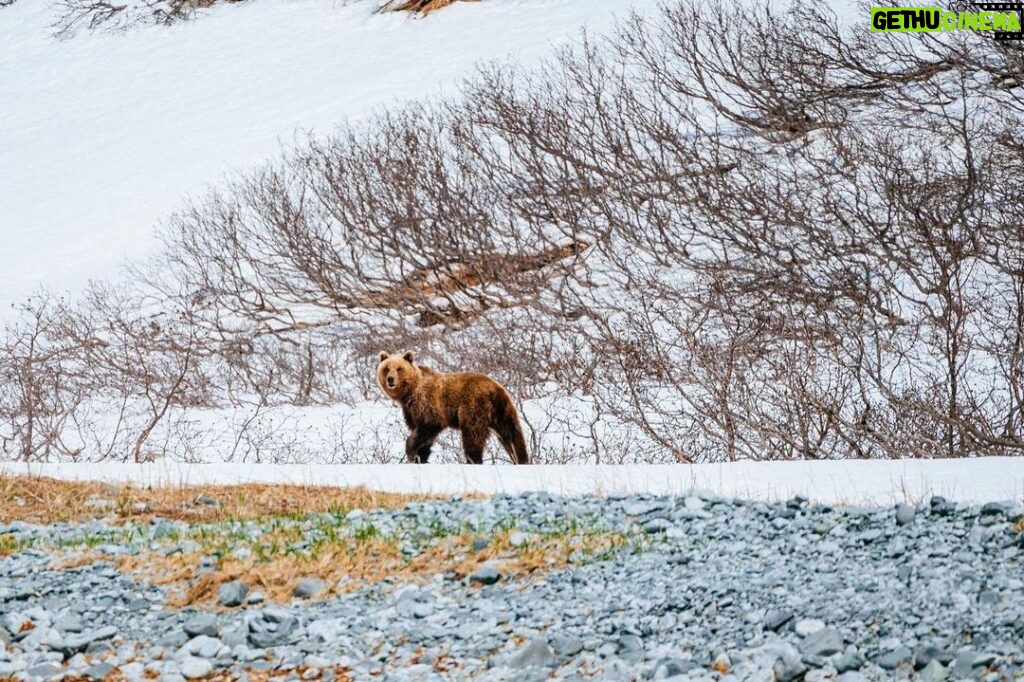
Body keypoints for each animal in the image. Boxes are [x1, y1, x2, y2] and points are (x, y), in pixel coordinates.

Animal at [380, 350, 532, 462]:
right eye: (386, 368)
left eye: (399, 368)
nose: (390, 379)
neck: (409, 393)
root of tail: (494, 387)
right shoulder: (410, 410)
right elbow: (422, 436)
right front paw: (421, 456)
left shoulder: (427, 403)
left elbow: (428, 425)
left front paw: (411, 451)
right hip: (502, 409)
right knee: (512, 434)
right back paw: (521, 458)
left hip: (474, 406)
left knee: (473, 436)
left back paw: (473, 459)